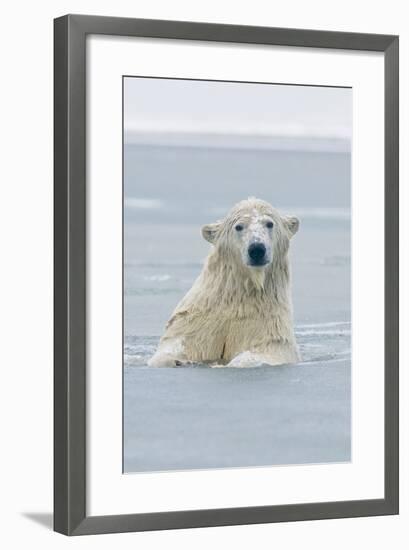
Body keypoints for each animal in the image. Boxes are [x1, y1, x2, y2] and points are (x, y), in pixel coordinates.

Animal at [147, 198, 300, 370]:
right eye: (239, 226)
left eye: (269, 223)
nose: (257, 249)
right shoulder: (197, 320)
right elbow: (177, 344)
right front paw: (179, 360)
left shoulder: (270, 325)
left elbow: (266, 350)